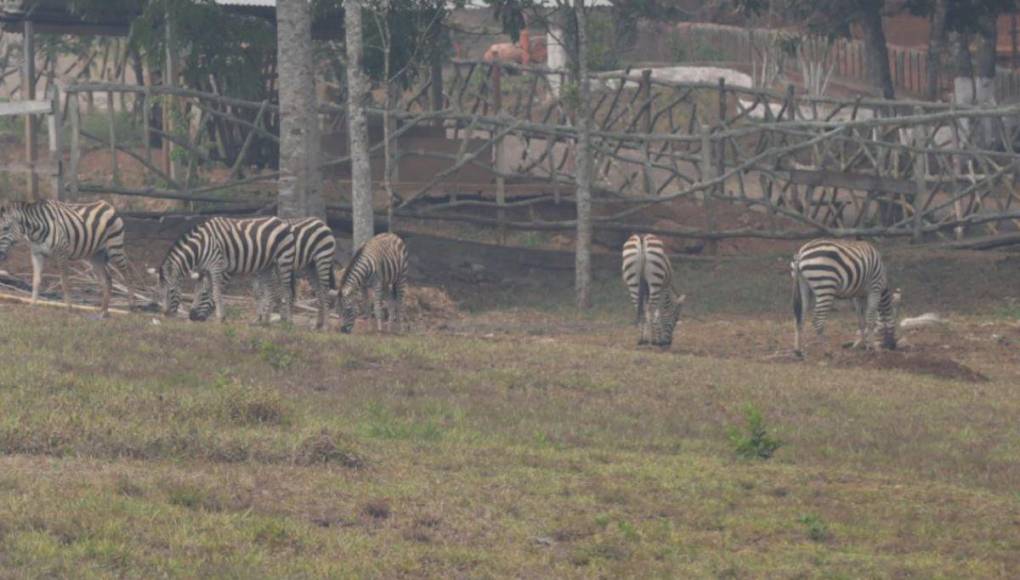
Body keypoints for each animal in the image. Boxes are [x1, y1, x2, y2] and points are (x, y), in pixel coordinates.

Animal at [0, 199, 135, 315]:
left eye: (6, 228)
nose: (0, 255)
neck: (36, 233)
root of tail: (108, 205)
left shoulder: (62, 253)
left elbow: (65, 282)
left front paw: (69, 309)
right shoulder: (37, 254)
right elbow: (36, 281)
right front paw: (32, 306)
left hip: (115, 248)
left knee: (127, 274)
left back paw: (131, 306)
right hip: (96, 256)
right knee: (107, 280)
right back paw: (103, 312)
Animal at [148, 216, 297, 324]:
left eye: (171, 291)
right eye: (159, 292)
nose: (165, 314)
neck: (200, 247)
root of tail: (281, 221)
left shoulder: (216, 266)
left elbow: (216, 292)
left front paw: (220, 318)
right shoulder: (205, 269)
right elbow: (204, 289)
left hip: (284, 259)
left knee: (286, 290)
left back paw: (288, 321)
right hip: (266, 265)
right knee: (272, 290)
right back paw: (264, 321)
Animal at [189, 215, 336, 328]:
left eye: (203, 294)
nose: (192, 317)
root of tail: (321, 222)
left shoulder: (267, 268)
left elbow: (272, 292)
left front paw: (273, 317)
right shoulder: (257, 270)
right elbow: (258, 293)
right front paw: (260, 318)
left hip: (322, 259)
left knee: (324, 290)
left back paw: (325, 325)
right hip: (310, 266)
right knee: (319, 292)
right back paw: (318, 324)